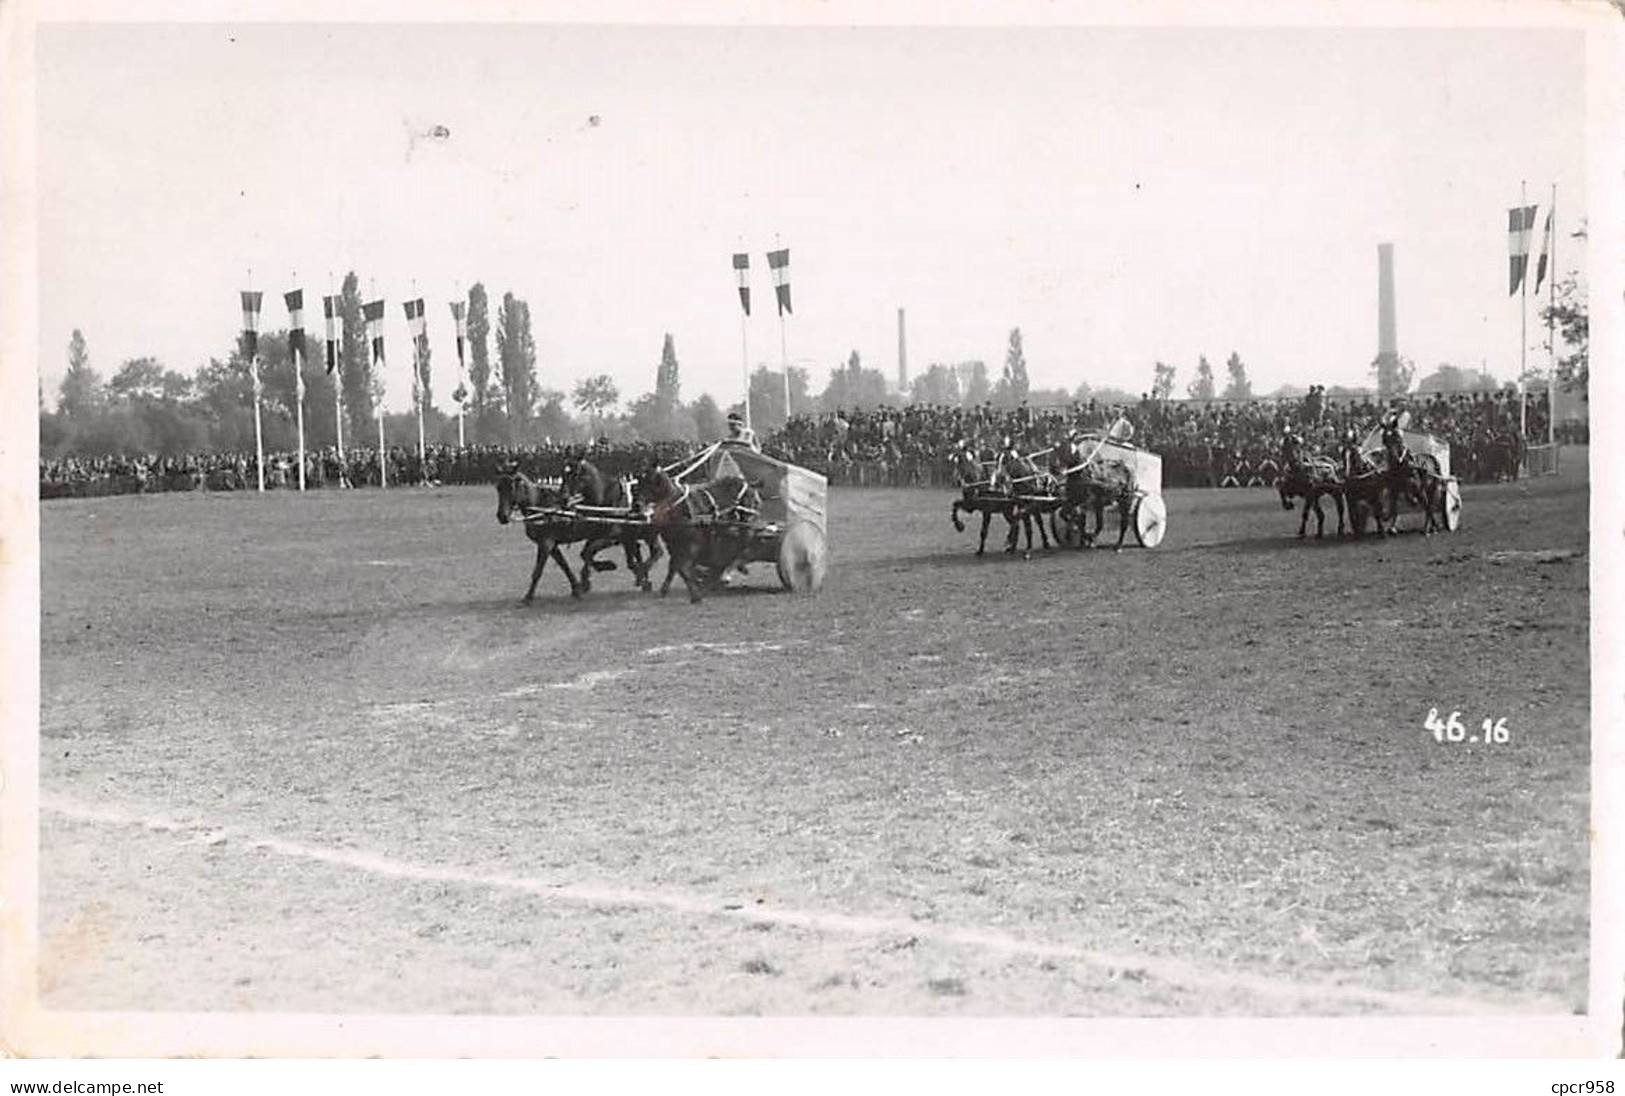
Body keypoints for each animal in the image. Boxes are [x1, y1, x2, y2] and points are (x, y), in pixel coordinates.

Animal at [490, 458, 588, 601]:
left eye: (512, 487)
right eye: (498, 487)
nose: (502, 516)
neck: (541, 507)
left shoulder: (546, 543)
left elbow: (538, 571)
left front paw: (528, 596)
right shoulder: (552, 545)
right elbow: (564, 565)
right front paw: (576, 588)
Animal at [559, 452, 659, 588]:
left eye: (575, 474)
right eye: (563, 473)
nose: (563, 499)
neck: (605, 498)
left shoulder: (610, 538)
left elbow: (589, 551)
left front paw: (602, 568)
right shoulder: (595, 535)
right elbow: (585, 553)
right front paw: (588, 577)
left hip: (649, 534)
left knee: (656, 551)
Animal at [630, 465, 763, 601]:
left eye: (650, 481)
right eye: (638, 480)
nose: (636, 505)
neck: (678, 508)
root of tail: (749, 484)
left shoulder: (691, 544)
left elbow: (683, 568)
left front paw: (696, 595)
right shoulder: (673, 545)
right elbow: (674, 566)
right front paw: (662, 588)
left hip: (747, 523)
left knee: (742, 546)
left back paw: (727, 572)